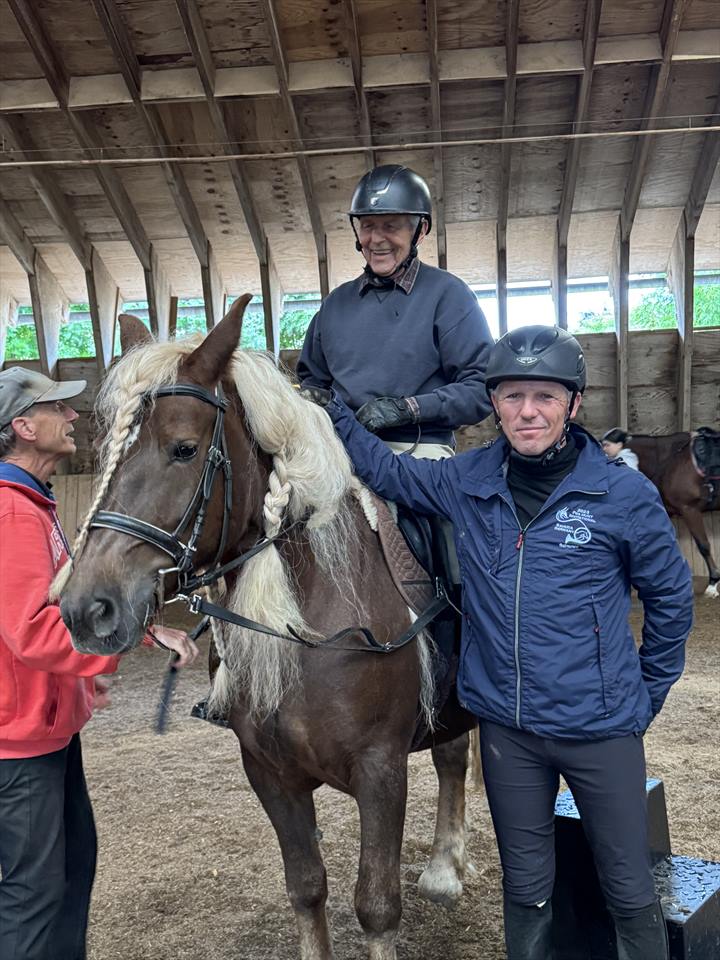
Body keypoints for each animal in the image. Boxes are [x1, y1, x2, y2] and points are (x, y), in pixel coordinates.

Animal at [56, 295, 478, 960]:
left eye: (183, 448)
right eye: (107, 455)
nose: (86, 609)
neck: (310, 626)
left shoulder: (381, 771)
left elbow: (376, 905)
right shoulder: (269, 774)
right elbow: (306, 888)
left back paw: (443, 868)